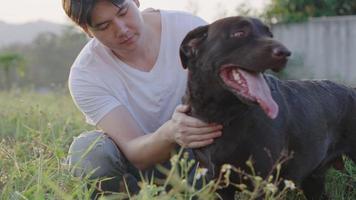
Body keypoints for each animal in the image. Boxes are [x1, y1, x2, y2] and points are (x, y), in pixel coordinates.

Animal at [181, 16, 356, 199]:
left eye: (270, 35)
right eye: (239, 33)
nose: (285, 52)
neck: (222, 114)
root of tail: (352, 89)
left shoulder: (261, 183)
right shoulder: (218, 184)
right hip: (314, 180)